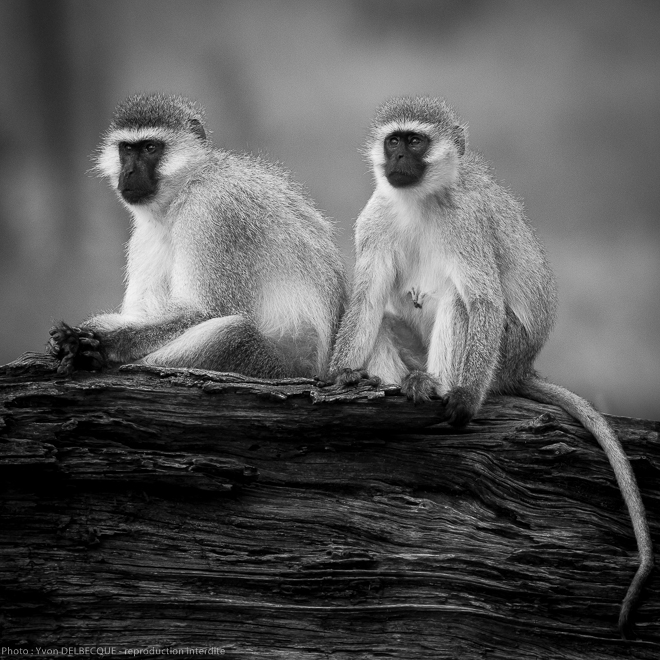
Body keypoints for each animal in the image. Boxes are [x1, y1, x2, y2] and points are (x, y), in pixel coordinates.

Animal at [47, 94, 346, 378]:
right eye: (127, 149)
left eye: (150, 148)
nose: (128, 172)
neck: (187, 185)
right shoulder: (145, 234)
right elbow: (144, 313)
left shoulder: (212, 210)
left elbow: (202, 312)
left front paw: (98, 339)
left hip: (277, 366)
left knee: (233, 334)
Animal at [332, 95, 652, 636]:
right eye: (393, 141)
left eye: (415, 140)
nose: (399, 159)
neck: (420, 202)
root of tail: (525, 365)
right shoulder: (375, 219)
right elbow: (367, 300)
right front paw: (340, 377)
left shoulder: (466, 223)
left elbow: (480, 300)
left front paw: (460, 402)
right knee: (390, 310)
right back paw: (397, 383)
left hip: (504, 351)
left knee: (458, 301)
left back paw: (438, 389)